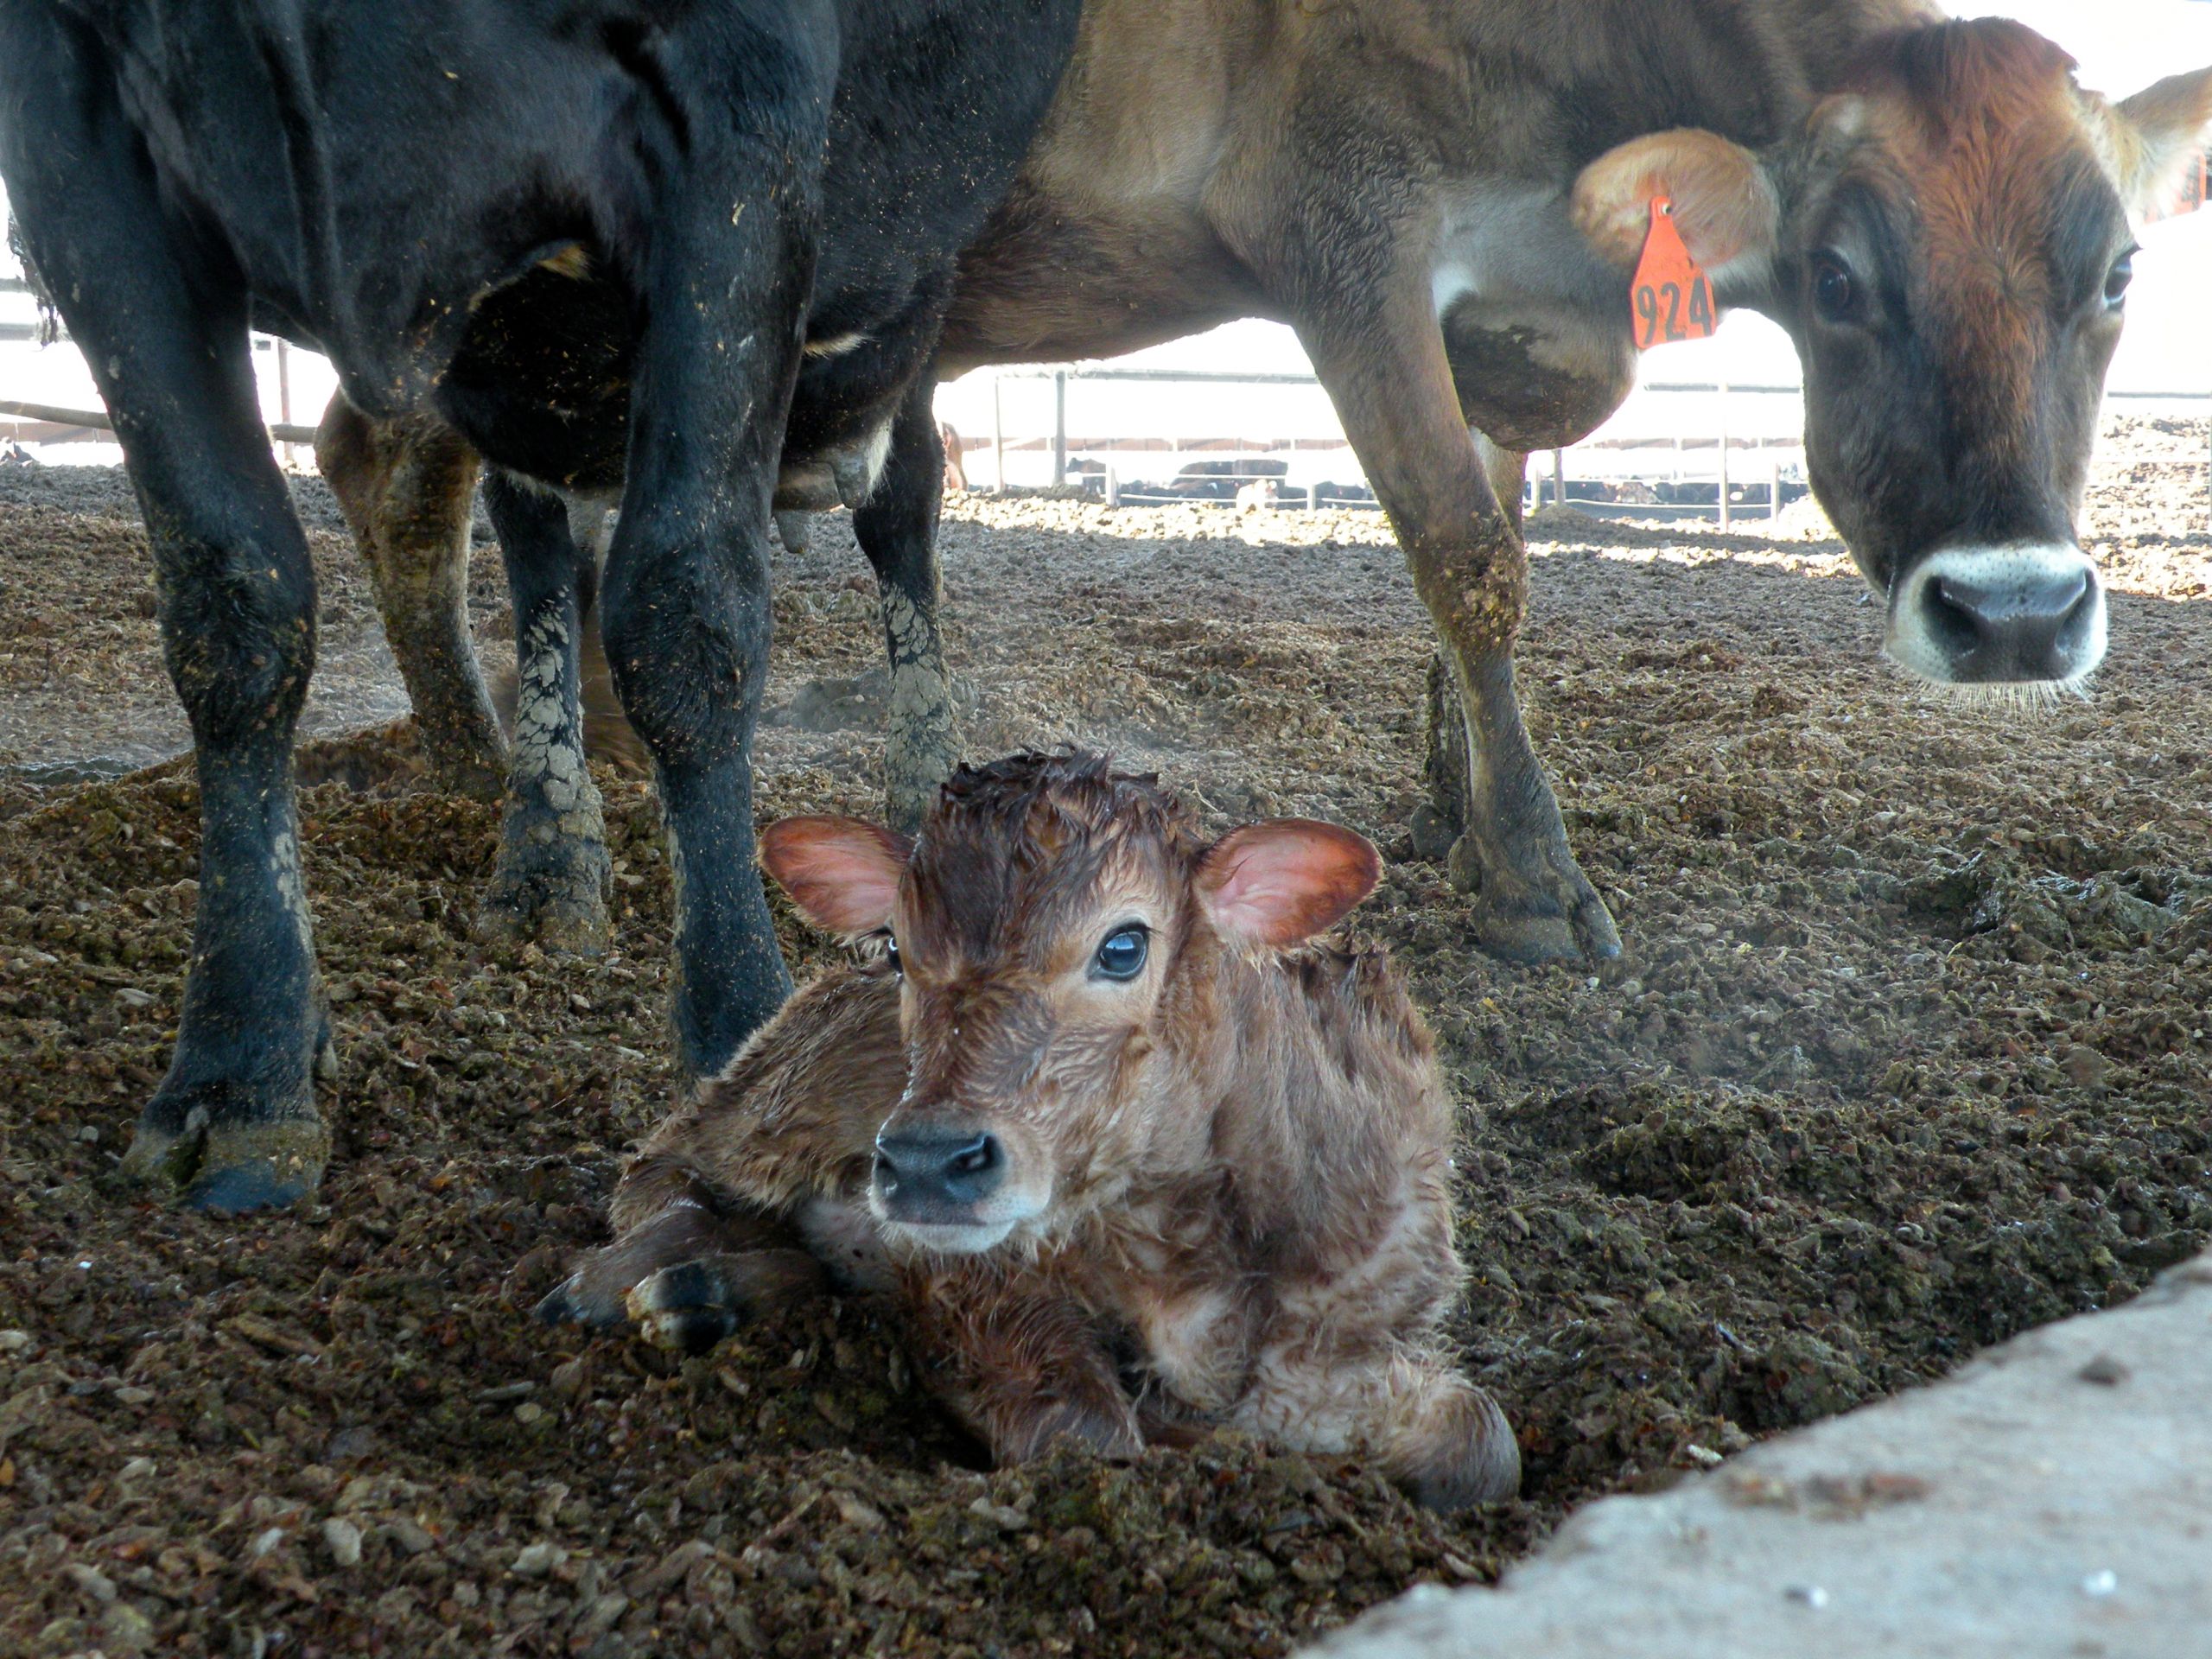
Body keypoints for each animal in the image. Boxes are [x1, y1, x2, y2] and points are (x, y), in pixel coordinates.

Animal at [0, 0, 1082, 1211]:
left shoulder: (746, 119)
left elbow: (685, 609)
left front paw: (746, 1061)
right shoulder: (72, 131)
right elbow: (233, 604)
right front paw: (243, 1060)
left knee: (902, 506)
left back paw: (920, 796)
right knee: (536, 547)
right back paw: (549, 849)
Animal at [298, 3, 2212, 979]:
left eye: (2121, 270)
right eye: (1835, 277)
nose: (2015, 616)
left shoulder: (1504, 307)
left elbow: (1500, 527)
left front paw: (1452, 805)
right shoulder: (1341, 227)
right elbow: (1461, 549)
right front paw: (1533, 889)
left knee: (398, 465)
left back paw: (498, 754)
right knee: (476, 484)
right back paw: (539, 826)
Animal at [536, 750, 1521, 1510]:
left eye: (1123, 946)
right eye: (895, 947)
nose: (927, 1162)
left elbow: (1483, 1442)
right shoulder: (964, 1271)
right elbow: (1089, 1434)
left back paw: (704, 1295)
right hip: (789, 1094)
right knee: (667, 1172)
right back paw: (618, 1284)